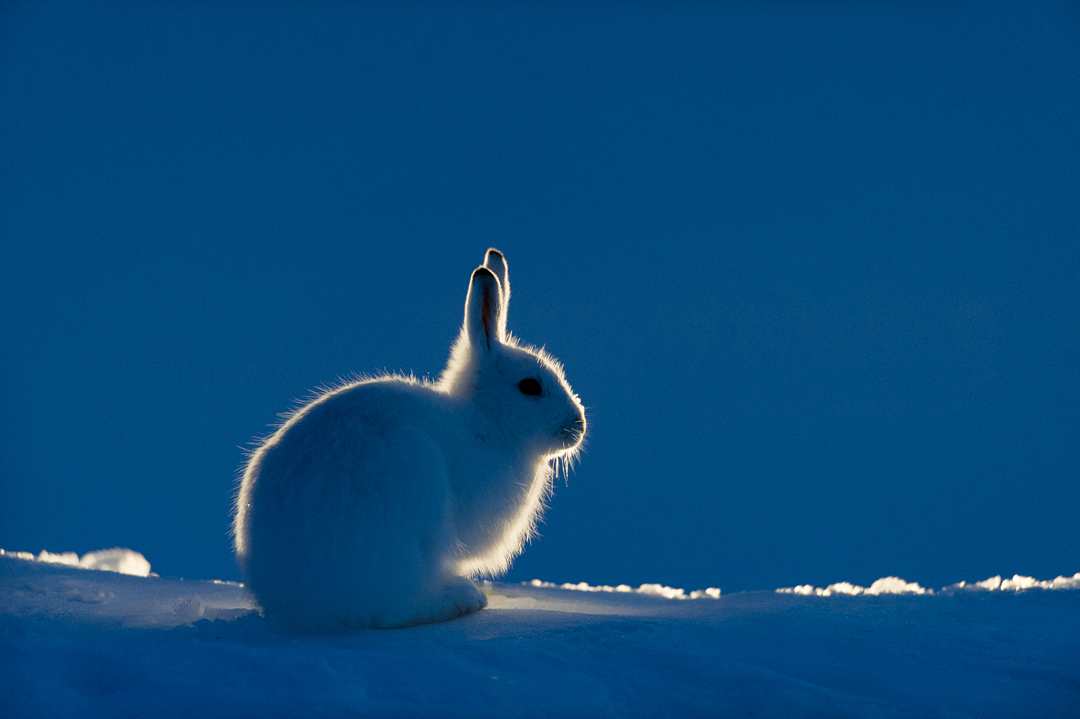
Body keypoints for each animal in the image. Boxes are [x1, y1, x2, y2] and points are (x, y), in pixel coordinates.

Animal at [232, 249, 586, 633]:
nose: (578, 425)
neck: (485, 421)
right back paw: (461, 599)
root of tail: (298, 608)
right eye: (530, 387)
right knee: (389, 610)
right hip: (407, 498)